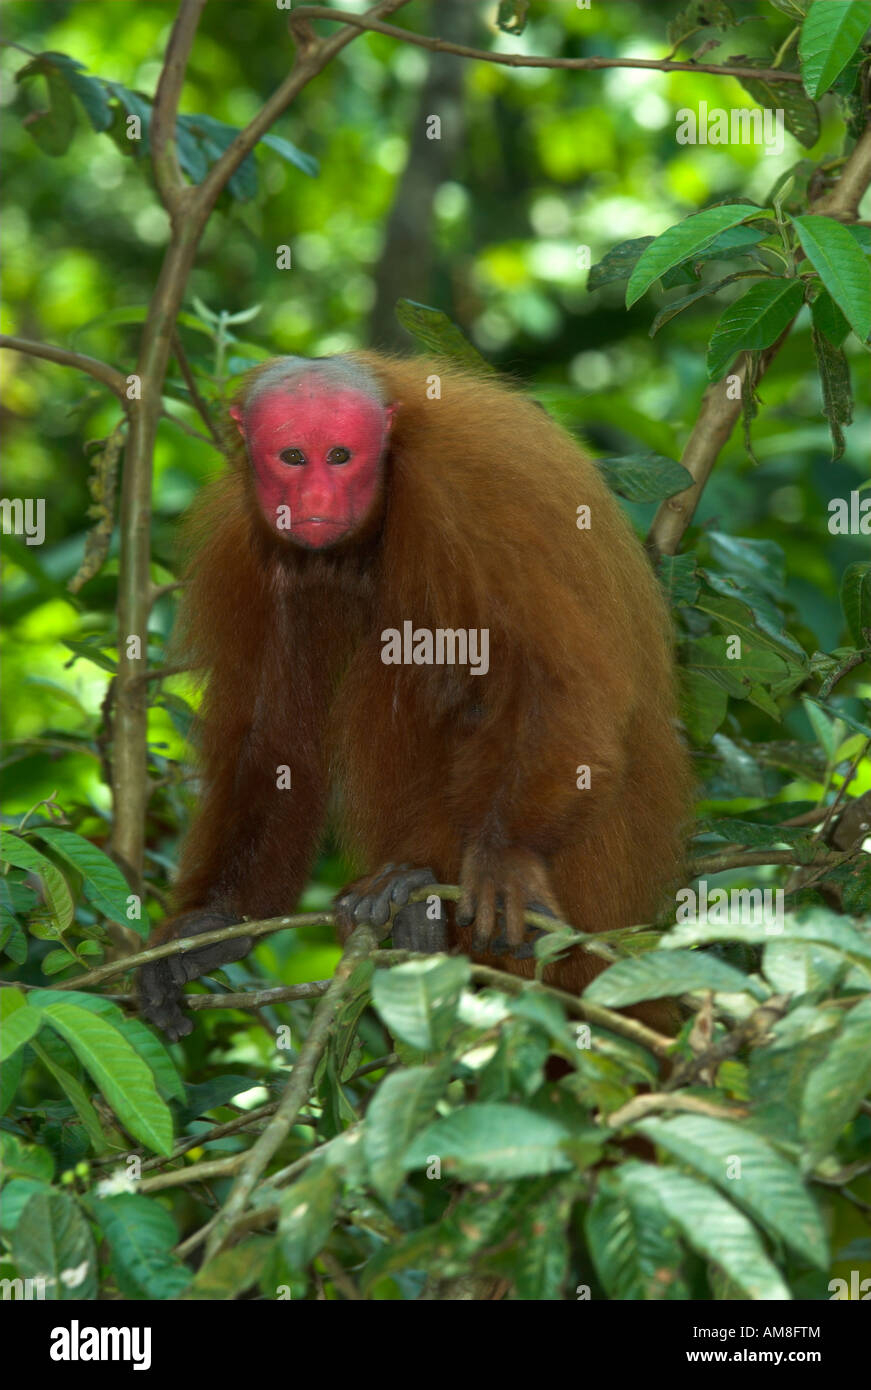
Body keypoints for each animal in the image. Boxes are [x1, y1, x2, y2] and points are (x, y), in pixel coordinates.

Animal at [138, 352, 692, 1041]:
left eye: (341, 456)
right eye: (294, 457)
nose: (315, 499)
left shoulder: (469, 491)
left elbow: (563, 680)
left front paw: (507, 856)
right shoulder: (246, 545)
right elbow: (272, 736)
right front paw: (217, 923)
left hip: (595, 877)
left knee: (420, 664)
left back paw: (417, 889)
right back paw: (414, 918)